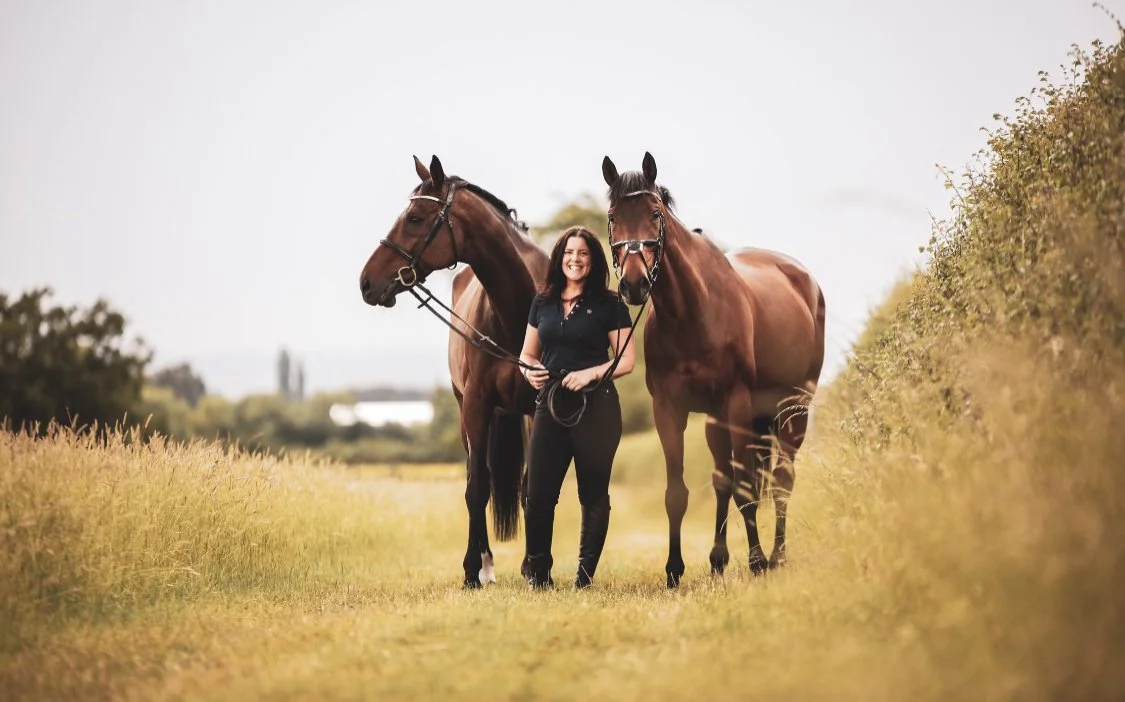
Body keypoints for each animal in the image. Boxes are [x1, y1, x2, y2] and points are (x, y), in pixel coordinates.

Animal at [360, 155, 548, 588]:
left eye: (414, 218)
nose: (366, 282)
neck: (515, 313)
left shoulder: (538, 404)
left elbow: (531, 485)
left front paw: (536, 567)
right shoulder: (476, 405)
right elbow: (476, 488)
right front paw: (470, 571)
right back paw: (486, 565)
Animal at [601, 152, 826, 588]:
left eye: (655, 214)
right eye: (613, 217)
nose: (635, 285)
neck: (693, 311)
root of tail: (804, 280)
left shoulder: (735, 402)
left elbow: (746, 489)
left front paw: (756, 561)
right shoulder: (670, 409)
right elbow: (678, 492)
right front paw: (674, 570)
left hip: (792, 408)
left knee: (781, 480)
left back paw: (776, 556)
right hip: (722, 421)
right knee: (725, 479)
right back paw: (719, 559)